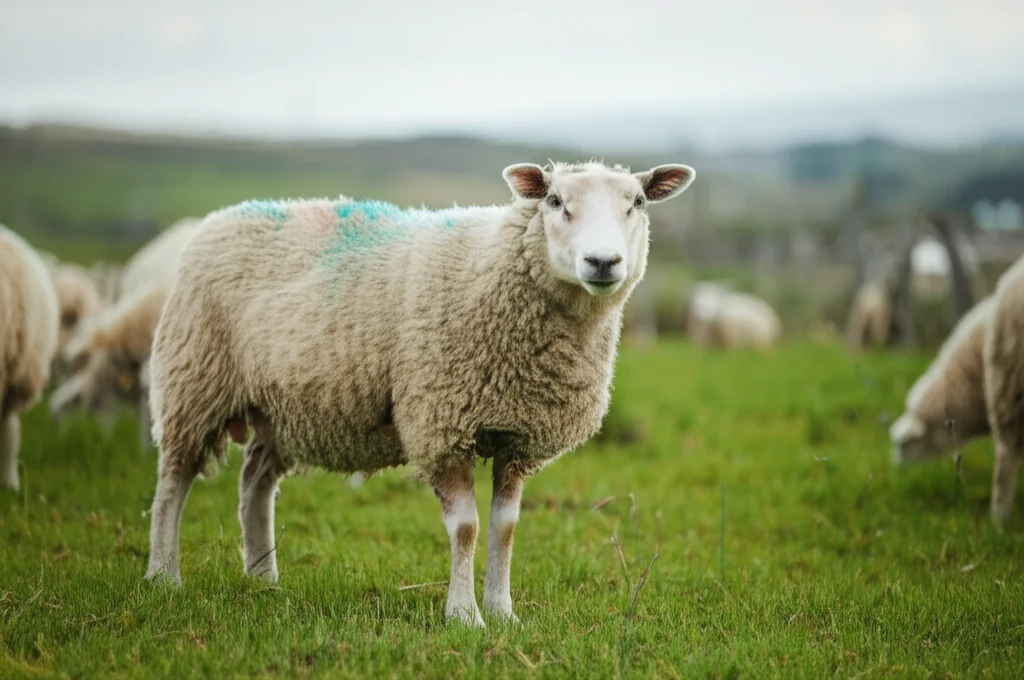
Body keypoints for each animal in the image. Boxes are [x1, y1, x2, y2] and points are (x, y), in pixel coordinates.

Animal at [143, 161, 696, 627]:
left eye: (638, 202)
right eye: (556, 200)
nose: (603, 262)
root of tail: (221, 216)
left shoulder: (516, 435)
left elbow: (505, 528)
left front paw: (503, 614)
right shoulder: (441, 423)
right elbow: (466, 529)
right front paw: (464, 617)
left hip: (282, 408)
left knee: (255, 481)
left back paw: (263, 578)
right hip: (194, 378)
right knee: (173, 481)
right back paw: (164, 576)